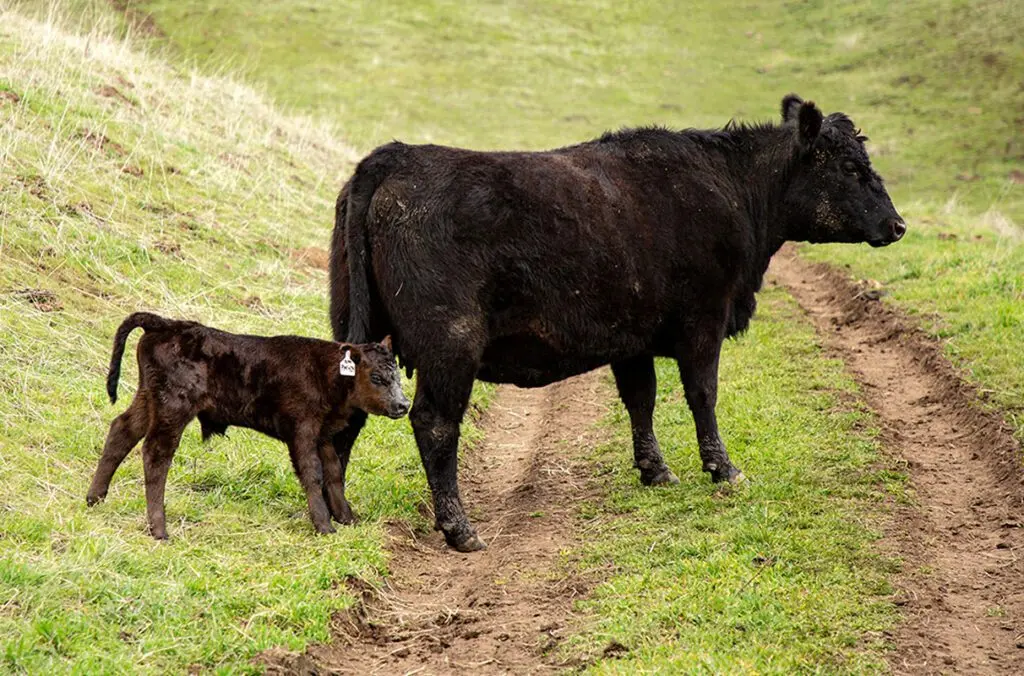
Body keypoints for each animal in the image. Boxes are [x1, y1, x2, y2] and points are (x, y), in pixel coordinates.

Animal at [86, 312, 410, 539]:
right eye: (376, 377)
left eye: (397, 374)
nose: (403, 405)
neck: (326, 373)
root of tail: (167, 324)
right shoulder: (302, 430)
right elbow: (313, 474)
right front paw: (323, 525)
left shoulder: (324, 434)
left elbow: (333, 474)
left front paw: (347, 517)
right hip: (173, 408)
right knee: (156, 454)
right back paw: (159, 529)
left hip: (148, 399)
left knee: (122, 430)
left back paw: (95, 498)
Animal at [327, 94, 905, 552]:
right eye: (850, 168)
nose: (897, 224)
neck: (733, 189)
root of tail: (397, 155)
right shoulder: (704, 320)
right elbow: (702, 394)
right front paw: (724, 470)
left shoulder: (634, 338)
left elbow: (641, 399)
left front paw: (656, 470)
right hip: (451, 344)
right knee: (435, 424)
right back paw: (459, 529)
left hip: (358, 335)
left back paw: (340, 515)